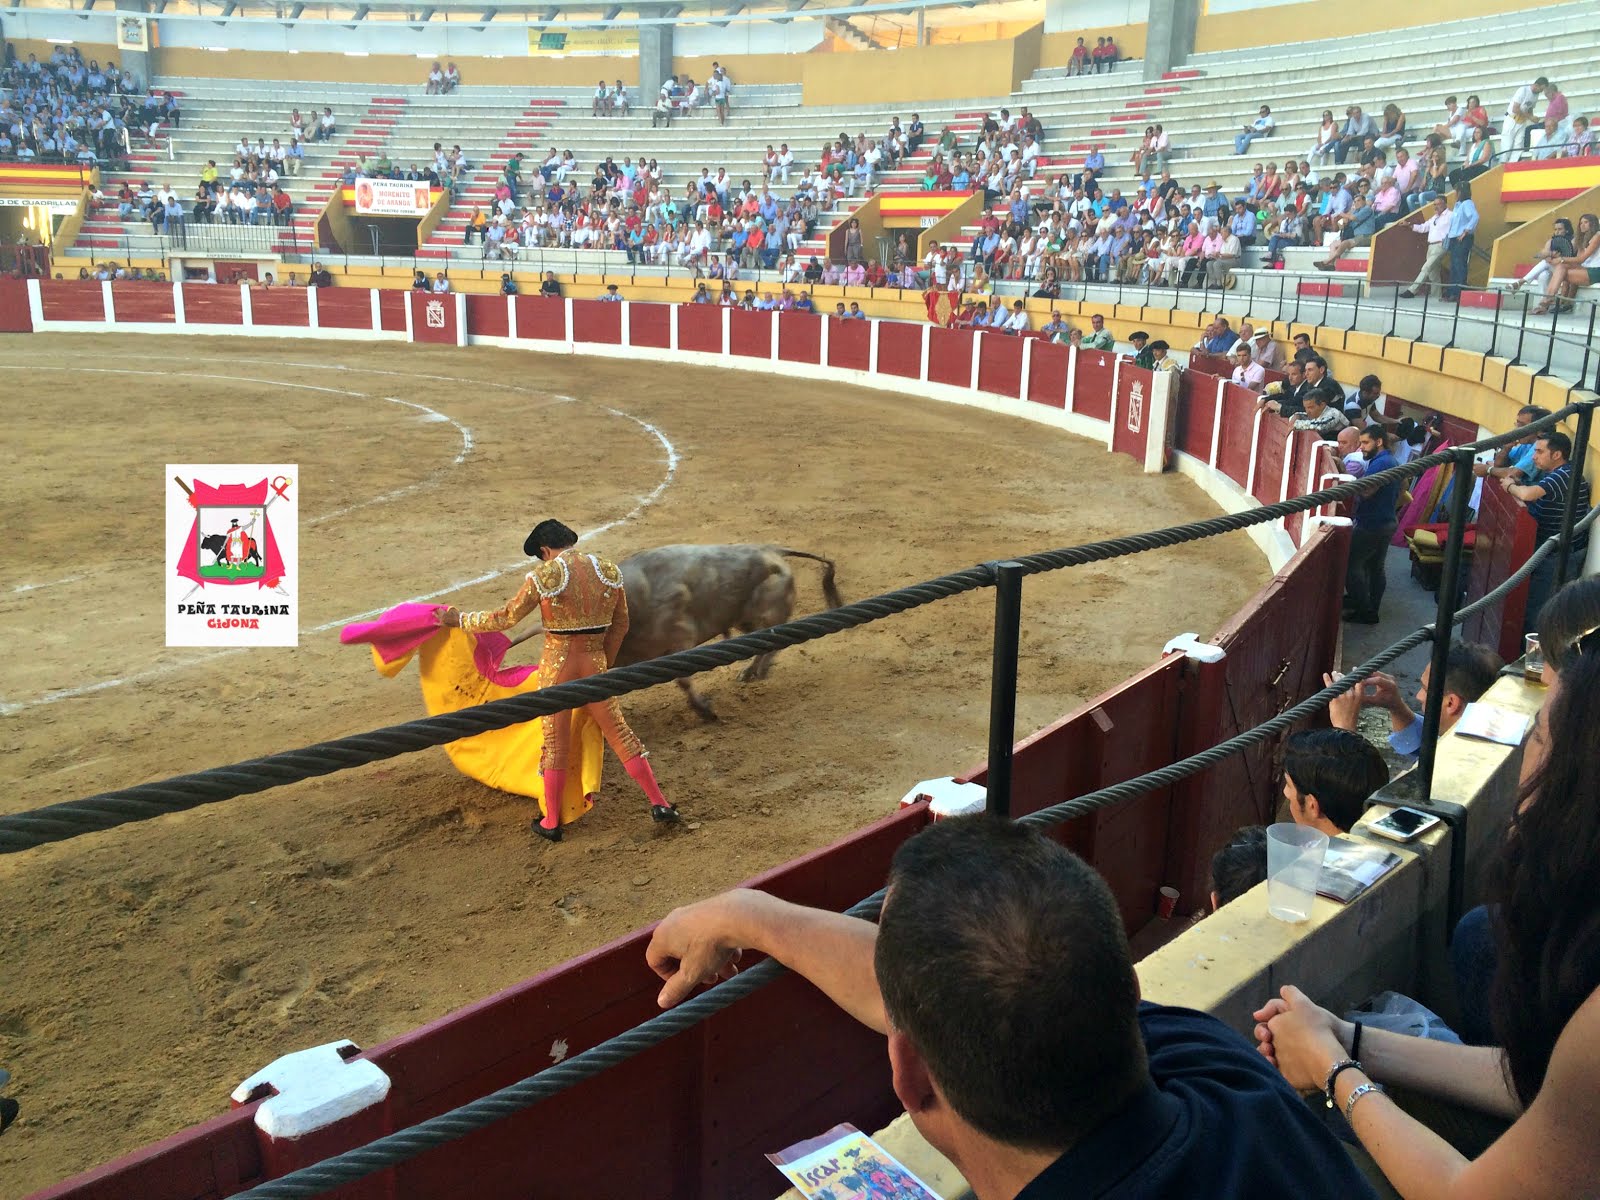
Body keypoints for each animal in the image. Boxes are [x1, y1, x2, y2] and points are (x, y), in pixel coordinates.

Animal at [611, 547, 844, 723]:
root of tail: (772, 549)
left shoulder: (680, 640)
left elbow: (683, 681)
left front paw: (707, 711)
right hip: (746, 621)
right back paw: (752, 672)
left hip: (765, 616)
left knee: (773, 642)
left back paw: (755, 672)